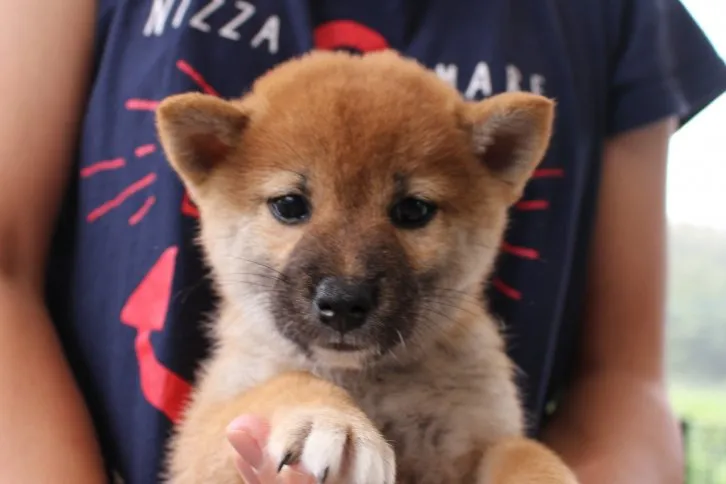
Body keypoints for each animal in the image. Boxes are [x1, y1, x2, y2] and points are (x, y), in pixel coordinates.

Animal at [156, 50, 576, 484]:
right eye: (289, 205)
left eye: (413, 210)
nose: (342, 302)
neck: (366, 380)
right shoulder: (200, 443)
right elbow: (283, 382)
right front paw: (328, 419)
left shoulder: (479, 435)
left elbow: (521, 449)